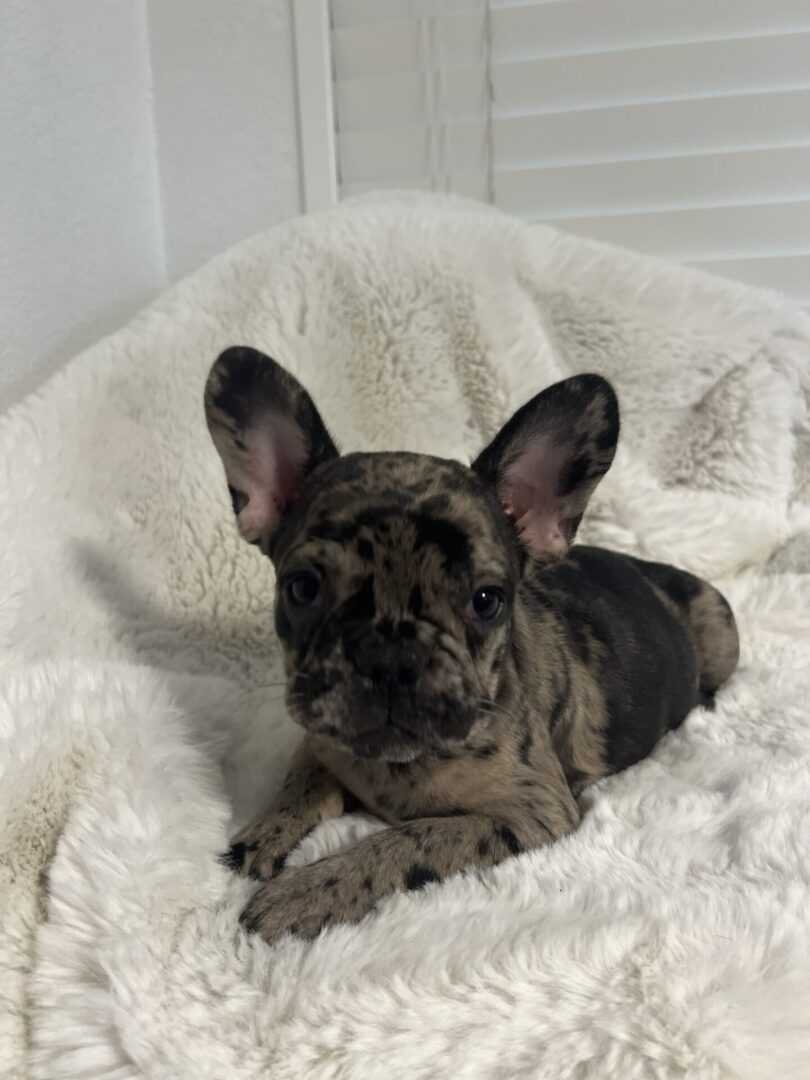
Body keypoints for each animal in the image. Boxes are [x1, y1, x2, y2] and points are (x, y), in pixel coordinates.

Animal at [204, 347, 743, 946]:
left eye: (487, 601)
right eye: (302, 589)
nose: (390, 658)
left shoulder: (533, 811)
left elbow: (404, 840)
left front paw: (307, 891)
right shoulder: (321, 740)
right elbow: (301, 784)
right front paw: (261, 836)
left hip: (719, 626)